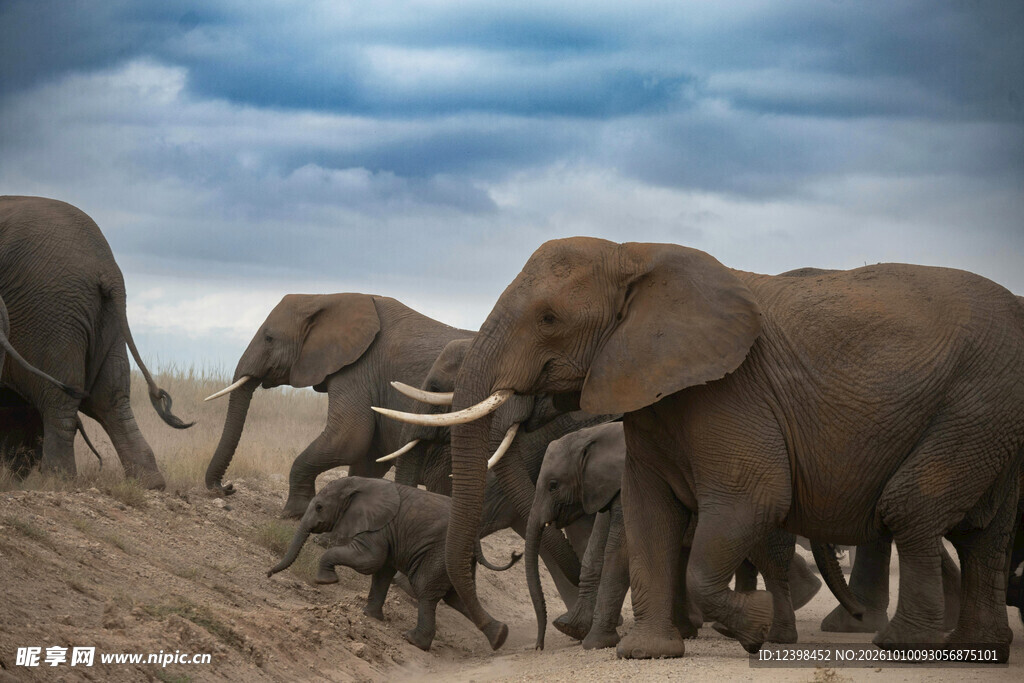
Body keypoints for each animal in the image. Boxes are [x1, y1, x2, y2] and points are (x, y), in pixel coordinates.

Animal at [0, 196, 192, 489]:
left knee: (61, 399)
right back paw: (150, 484)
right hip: (107, 320)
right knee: (112, 399)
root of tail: (106, 268)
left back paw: (58, 482)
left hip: (48, 311)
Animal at [202, 292, 472, 518]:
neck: (326, 298)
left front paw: (292, 514)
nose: (227, 488)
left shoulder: (358, 369)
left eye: (269, 338)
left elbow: (349, 438)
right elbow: (367, 458)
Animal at [267, 476, 521, 651]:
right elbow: (382, 571)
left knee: (427, 590)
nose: (268, 574)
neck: (356, 483)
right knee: (456, 596)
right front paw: (370, 616)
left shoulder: (377, 527)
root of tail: (476, 537)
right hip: (457, 558)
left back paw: (413, 640)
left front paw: (325, 581)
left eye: (319, 507)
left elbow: (369, 561)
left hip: (438, 552)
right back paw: (500, 637)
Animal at [526, 421, 823, 651]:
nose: (538, 646)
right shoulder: (608, 491)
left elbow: (618, 553)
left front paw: (594, 643)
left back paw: (776, 636)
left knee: (769, 562)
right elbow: (597, 552)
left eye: (553, 485)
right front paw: (571, 629)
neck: (593, 434)